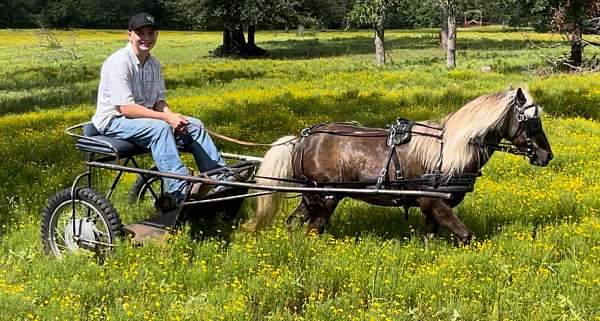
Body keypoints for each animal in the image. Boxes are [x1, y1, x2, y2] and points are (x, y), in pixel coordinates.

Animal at [245, 87, 552, 242]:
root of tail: (303, 138)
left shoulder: (430, 209)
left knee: (294, 222)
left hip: (312, 196)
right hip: (327, 196)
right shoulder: (435, 203)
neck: (448, 152)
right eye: (532, 121)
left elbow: (429, 238)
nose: (546, 155)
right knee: (313, 228)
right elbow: (466, 235)